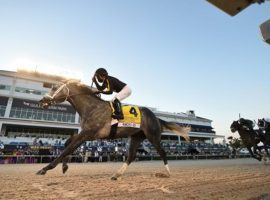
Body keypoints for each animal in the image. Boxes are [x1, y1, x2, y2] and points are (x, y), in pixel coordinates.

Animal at [37, 81, 191, 180]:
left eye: (54, 88)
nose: (42, 101)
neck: (91, 107)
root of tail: (156, 117)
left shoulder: (87, 134)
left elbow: (67, 150)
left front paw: (45, 169)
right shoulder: (87, 135)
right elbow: (67, 144)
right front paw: (64, 167)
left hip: (153, 136)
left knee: (163, 152)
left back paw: (167, 173)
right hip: (136, 137)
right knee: (131, 156)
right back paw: (116, 175)